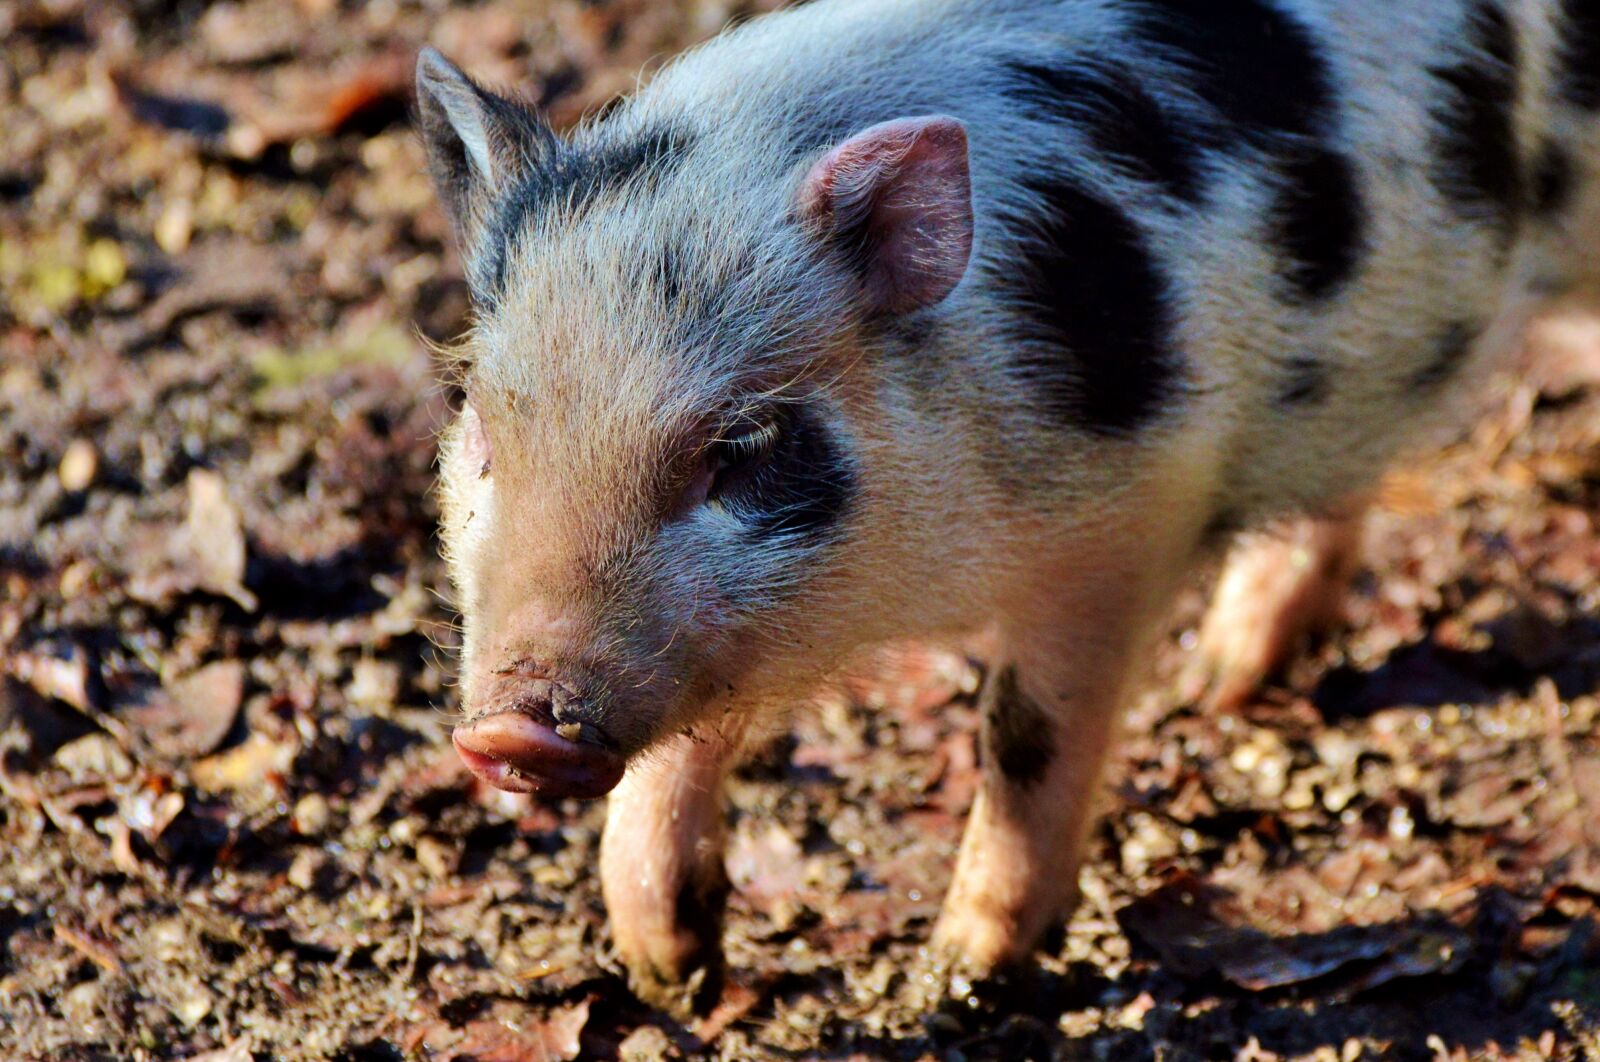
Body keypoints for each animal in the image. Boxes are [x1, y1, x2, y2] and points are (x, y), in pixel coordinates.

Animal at [416, 0, 1600, 1012]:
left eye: (739, 449)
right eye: (482, 422)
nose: (514, 728)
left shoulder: (1128, 521)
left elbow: (1027, 733)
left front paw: (960, 975)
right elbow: (682, 746)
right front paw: (672, 969)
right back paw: (1227, 682)